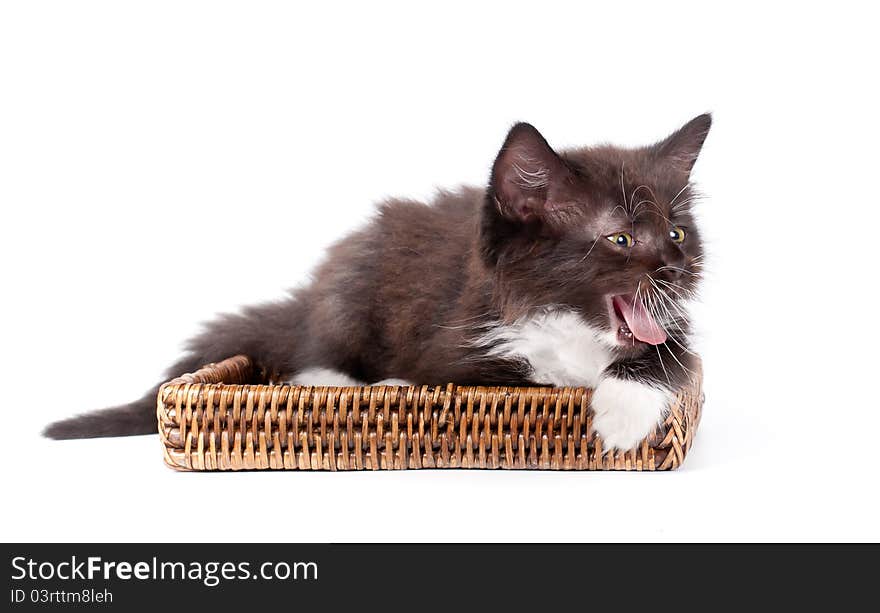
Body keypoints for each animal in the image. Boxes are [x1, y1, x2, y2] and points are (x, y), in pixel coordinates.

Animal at [46, 115, 708, 450]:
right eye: (619, 239)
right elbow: (505, 377)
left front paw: (624, 407)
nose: (674, 269)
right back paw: (347, 378)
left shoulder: (672, 331)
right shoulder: (456, 340)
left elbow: (669, 355)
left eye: (676, 233)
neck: (574, 329)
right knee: (314, 353)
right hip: (351, 285)